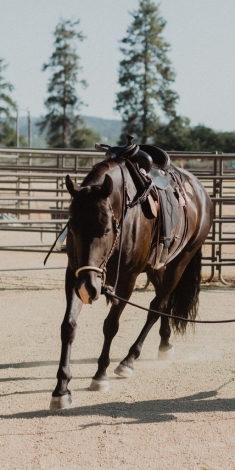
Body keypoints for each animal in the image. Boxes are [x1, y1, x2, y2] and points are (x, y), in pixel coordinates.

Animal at [49, 138, 213, 410]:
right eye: (72, 226)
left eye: (106, 229)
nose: (89, 288)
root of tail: (202, 193)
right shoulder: (74, 275)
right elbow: (68, 326)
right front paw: (61, 389)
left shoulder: (128, 278)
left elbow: (111, 325)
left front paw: (100, 375)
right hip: (156, 266)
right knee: (162, 302)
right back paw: (165, 343)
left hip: (180, 261)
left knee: (156, 306)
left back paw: (128, 360)